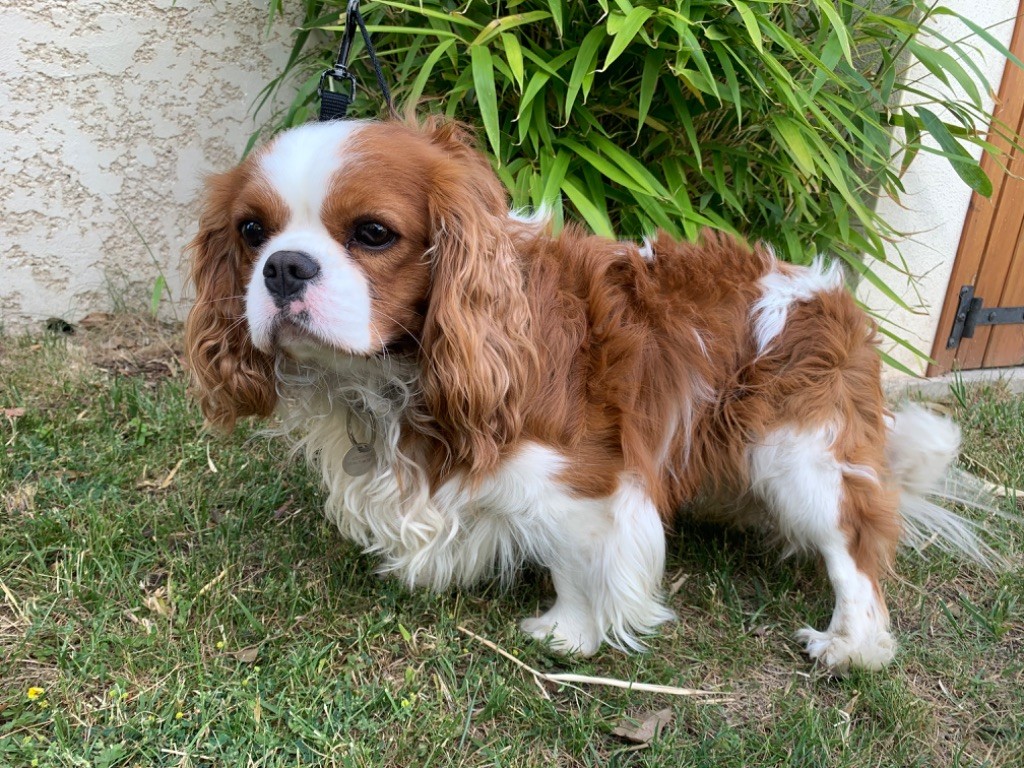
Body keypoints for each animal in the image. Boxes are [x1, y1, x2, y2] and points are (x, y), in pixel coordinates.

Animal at [184, 117, 991, 671]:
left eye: (373, 233)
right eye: (251, 231)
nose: (284, 267)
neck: (398, 375)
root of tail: (835, 297)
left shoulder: (587, 480)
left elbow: (577, 563)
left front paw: (567, 635)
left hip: (799, 457)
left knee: (854, 548)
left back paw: (850, 644)